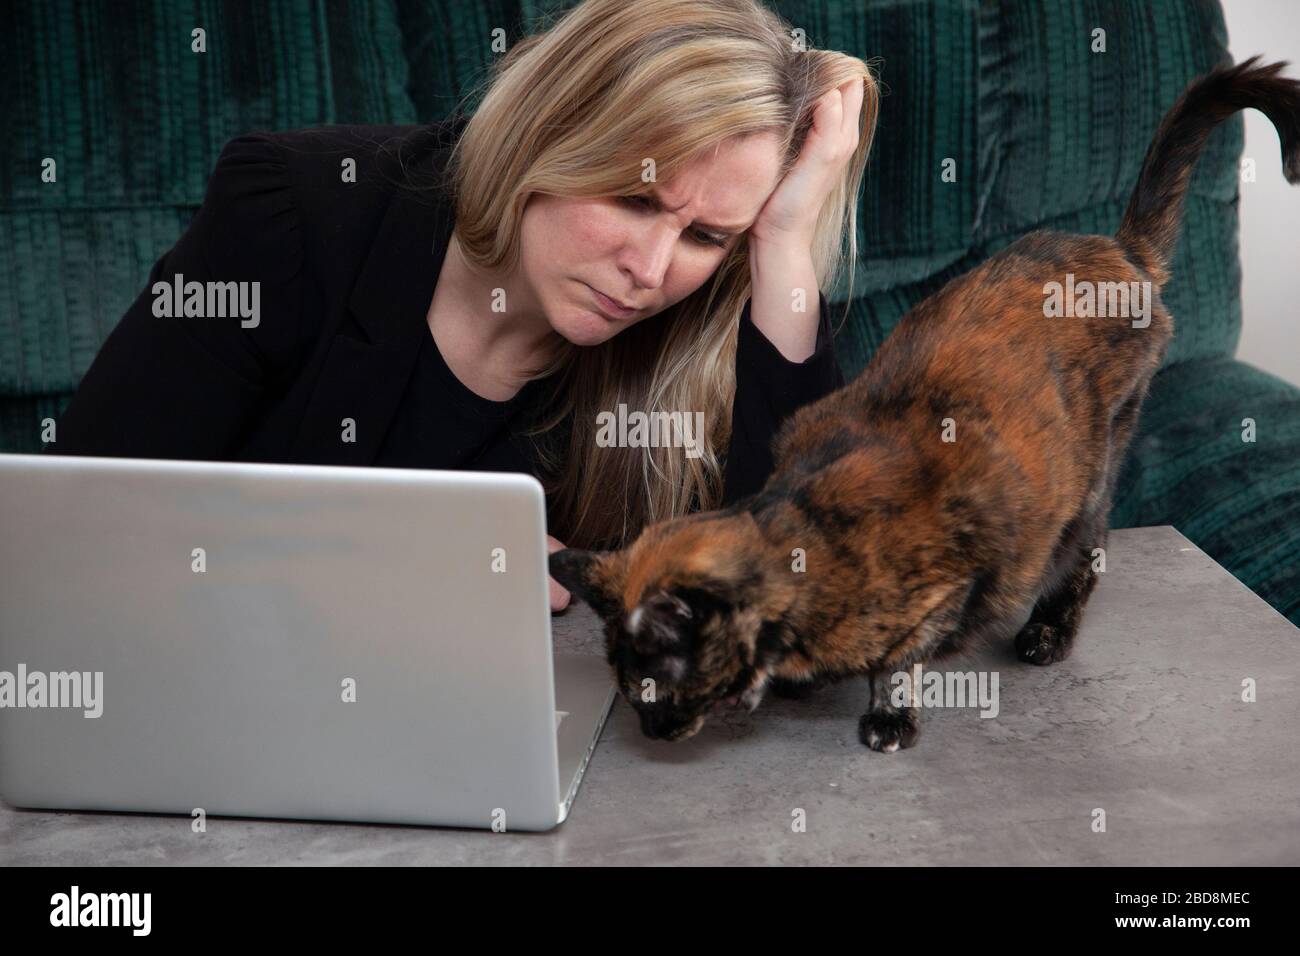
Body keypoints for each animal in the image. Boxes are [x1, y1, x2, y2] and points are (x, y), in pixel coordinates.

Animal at [546, 55, 1300, 749]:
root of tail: (1118, 251)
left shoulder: (949, 580)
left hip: (1093, 471)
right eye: (625, 690)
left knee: (1088, 553)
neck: (801, 536)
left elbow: (900, 657)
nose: (651, 731)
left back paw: (1047, 634)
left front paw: (887, 716)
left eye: (655, 686)